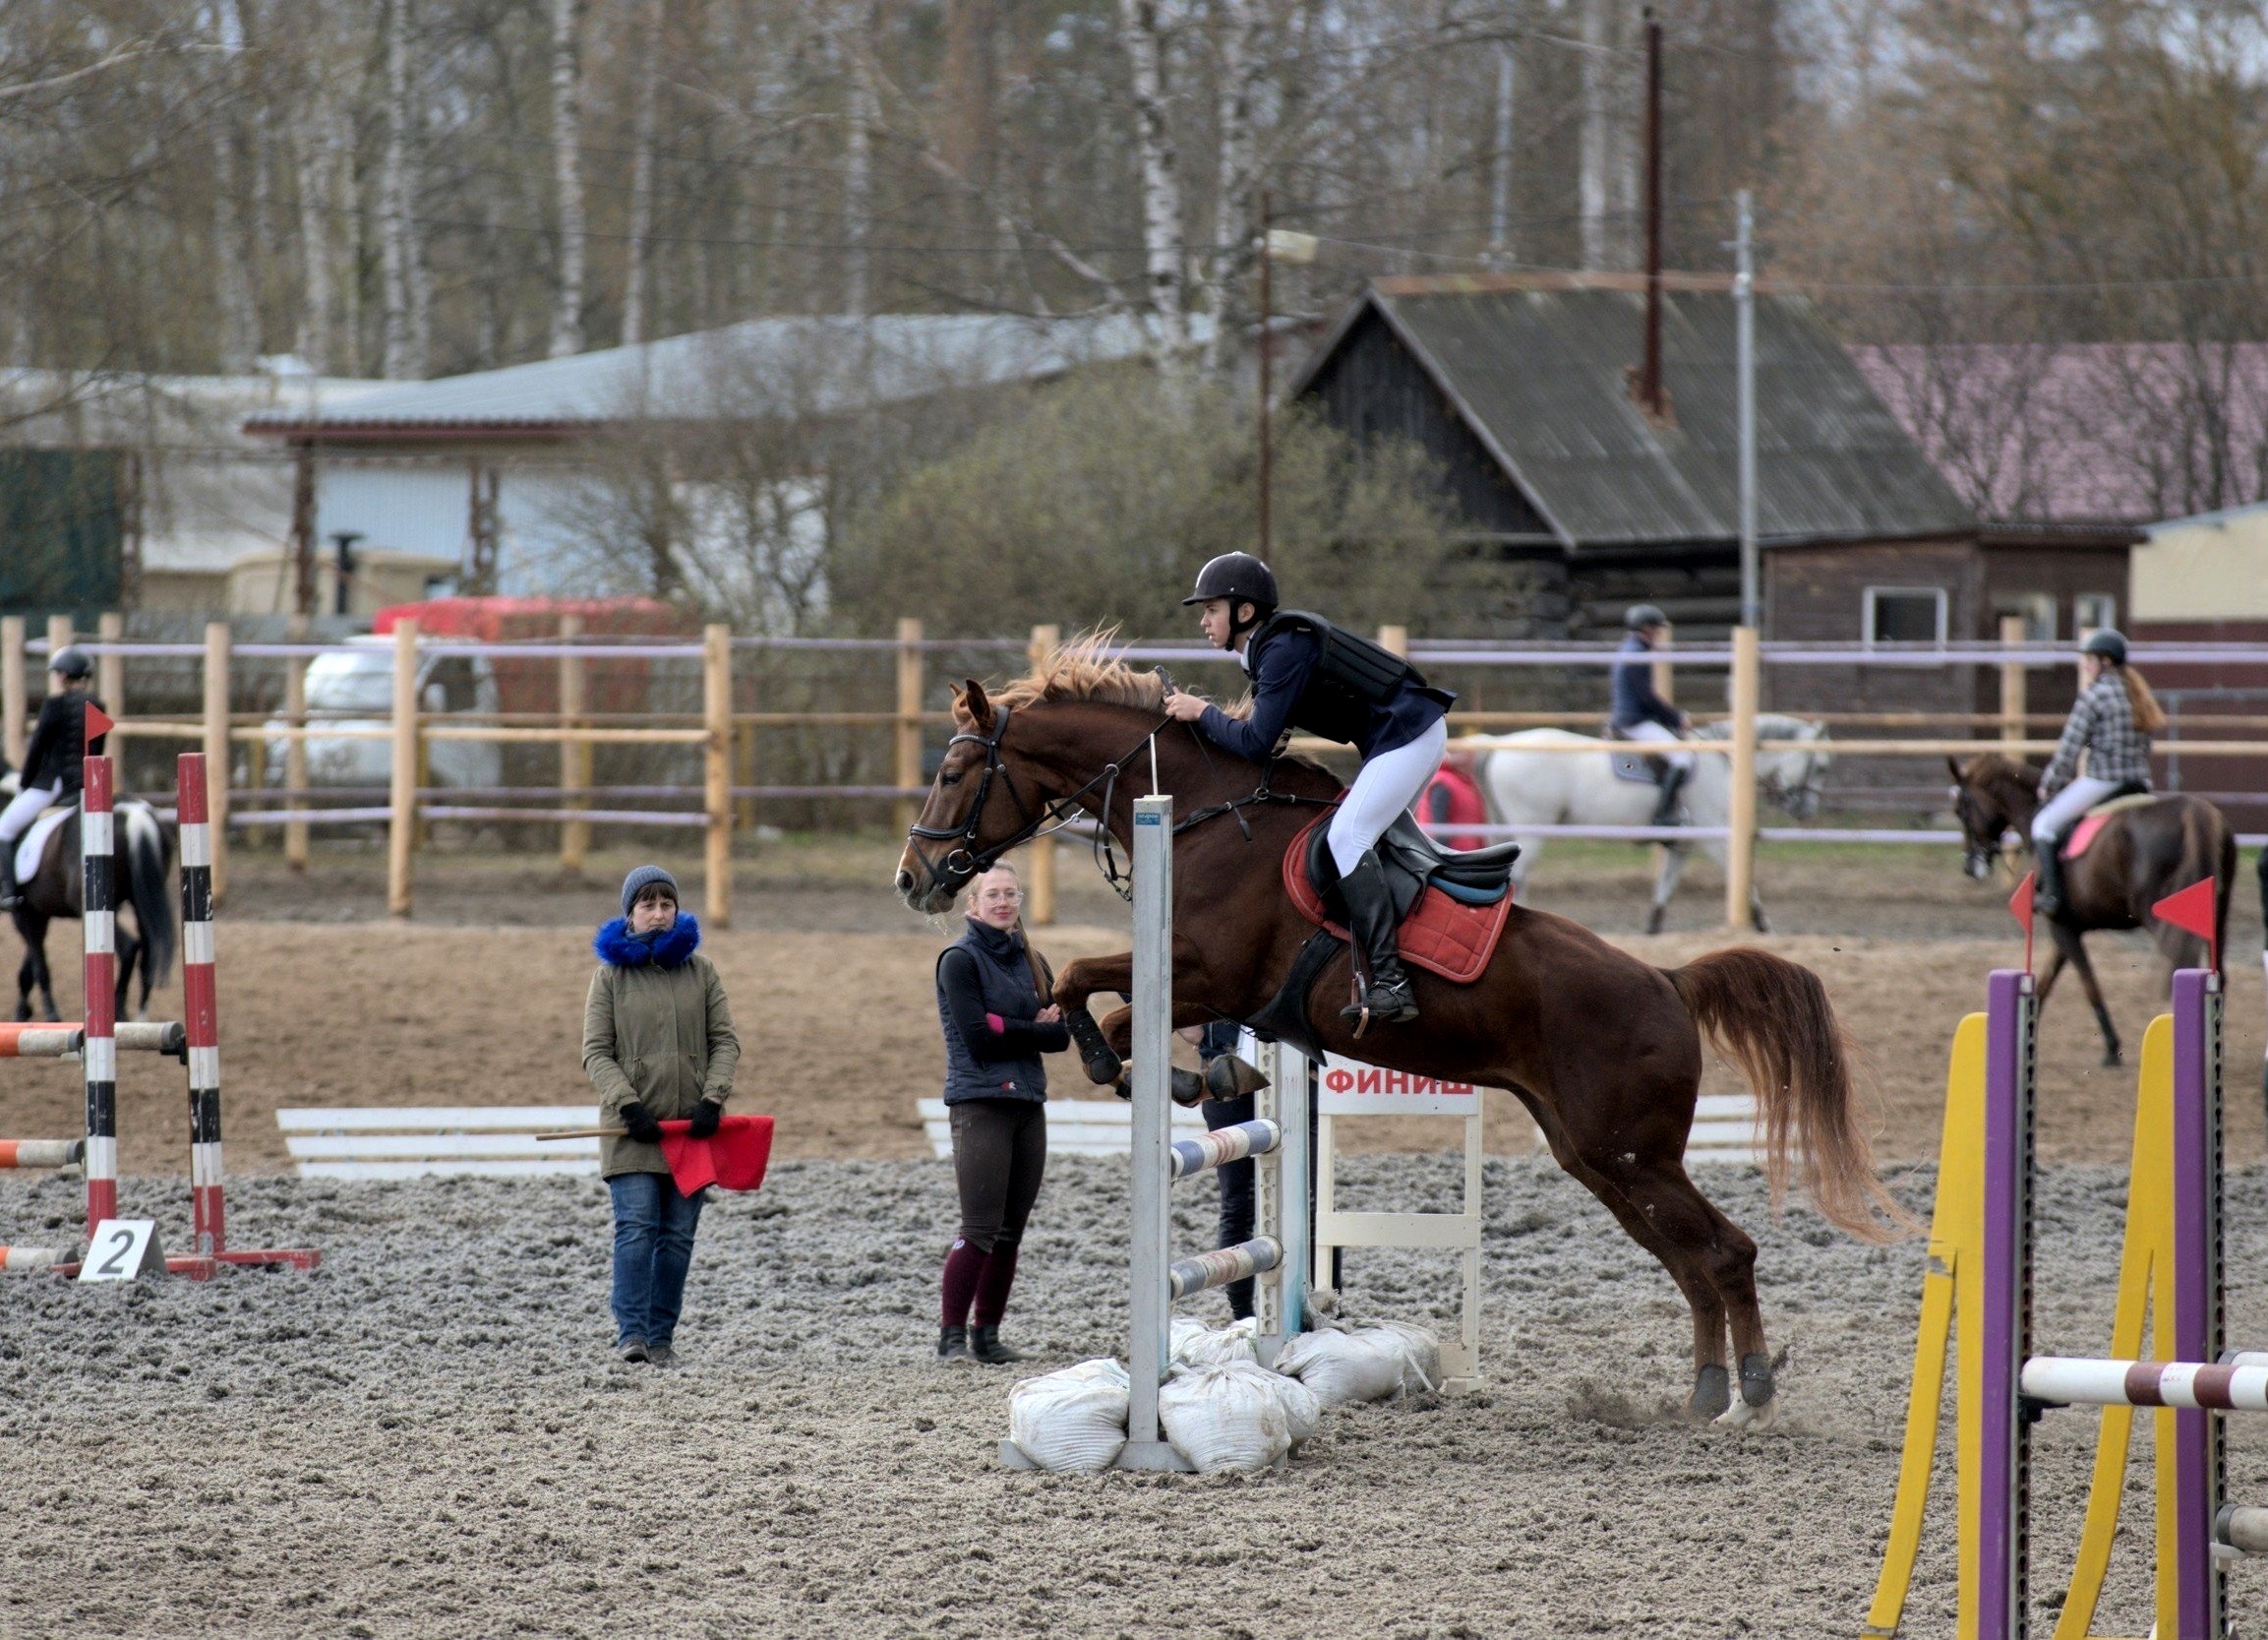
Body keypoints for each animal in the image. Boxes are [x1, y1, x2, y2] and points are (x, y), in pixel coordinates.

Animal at [1478, 716, 1832, 934]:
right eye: (1821, 766)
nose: (1805, 810)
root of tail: (1499, 743)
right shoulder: (1715, 838)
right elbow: (1742, 878)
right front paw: (1763, 924)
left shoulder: (1683, 846)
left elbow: (1666, 886)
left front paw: (1652, 929)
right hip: (1531, 831)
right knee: (1518, 879)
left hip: (1505, 830)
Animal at [1940, 753, 2240, 1070]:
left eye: (1960, 810)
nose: (1969, 867)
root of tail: (2194, 811)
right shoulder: (2067, 927)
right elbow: (2044, 983)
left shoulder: (2061, 927)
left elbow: (2088, 983)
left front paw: (2111, 1047)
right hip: (2217, 916)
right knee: (2217, 973)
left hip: (2160, 917)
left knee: (2182, 966)